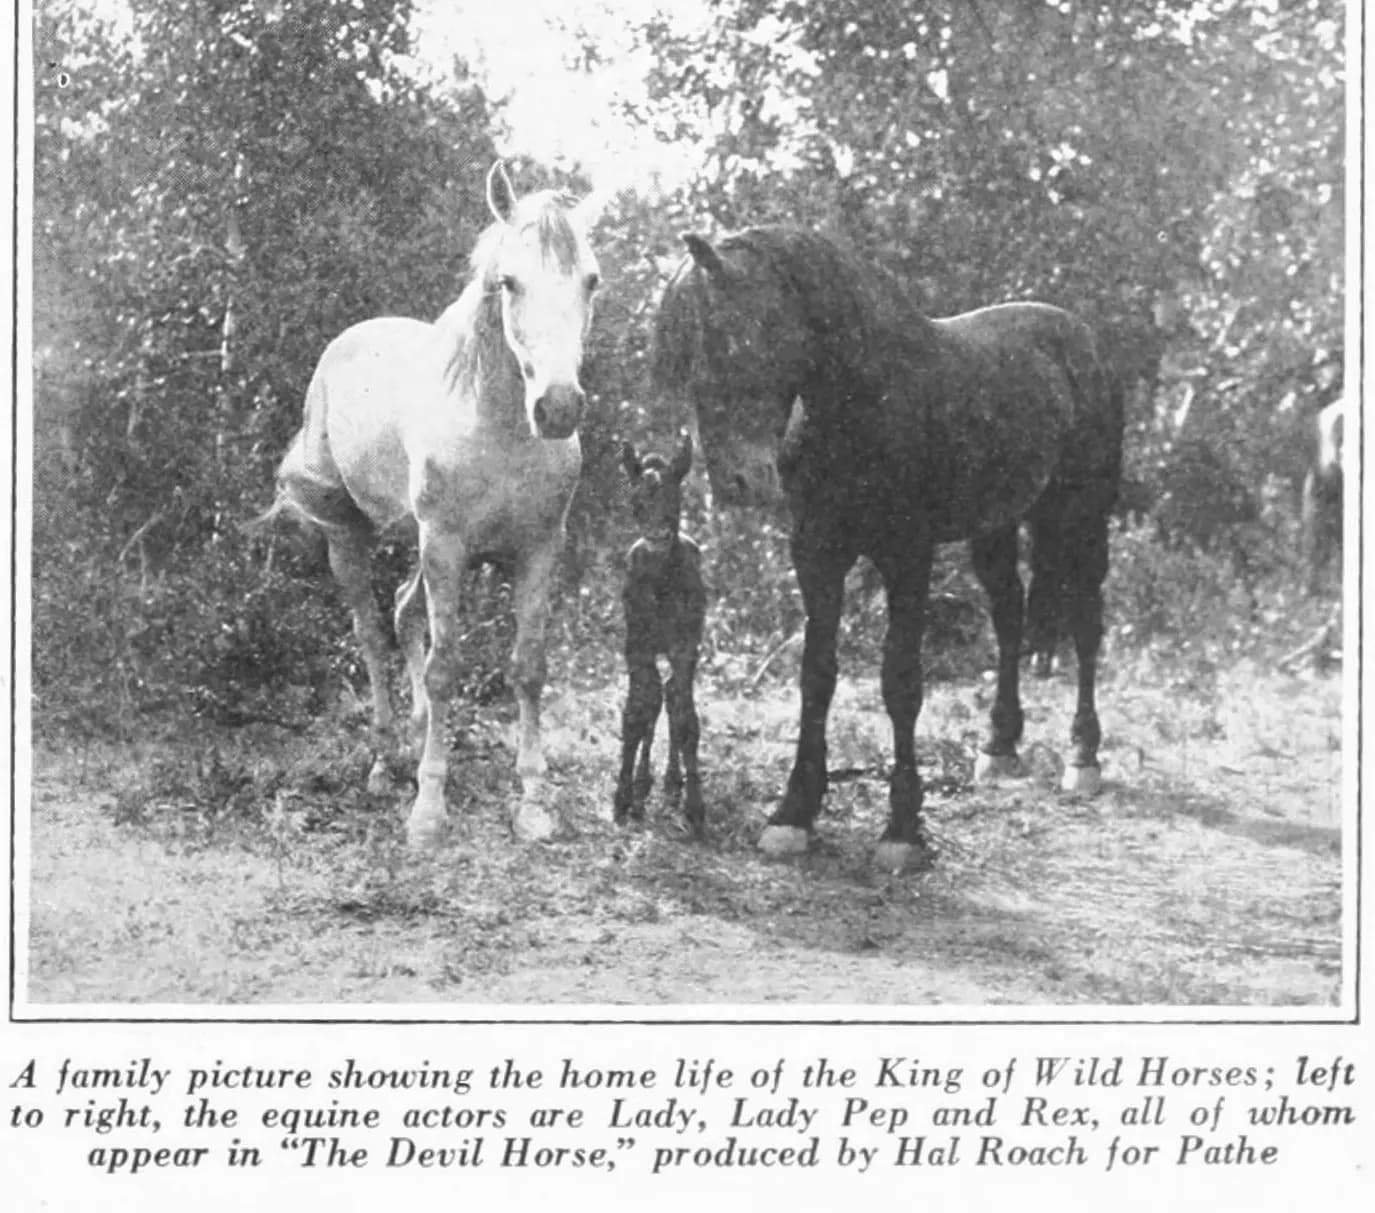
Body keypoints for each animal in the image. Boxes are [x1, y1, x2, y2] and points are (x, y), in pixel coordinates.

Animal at [260, 162, 601, 845]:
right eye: (509, 282)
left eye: (591, 280)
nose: (557, 408)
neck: (498, 428)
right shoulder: (445, 544)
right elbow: (447, 667)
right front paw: (429, 808)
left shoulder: (536, 548)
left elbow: (528, 666)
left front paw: (533, 802)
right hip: (354, 537)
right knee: (370, 630)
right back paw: (386, 760)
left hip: (424, 547)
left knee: (401, 610)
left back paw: (416, 733)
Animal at [652, 226, 1123, 869]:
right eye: (684, 357)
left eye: (734, 336)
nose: (738, 482)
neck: (864, 398)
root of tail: (1079, 337)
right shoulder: (817, 554)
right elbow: (817, 676)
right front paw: (793, 814)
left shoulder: (907, 558)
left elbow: (901, 683)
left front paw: (902, 828)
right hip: (995, 528)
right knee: (1009, 615)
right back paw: (999, 747)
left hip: (1080, 519)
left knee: (1083, 624)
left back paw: (1082, 758)